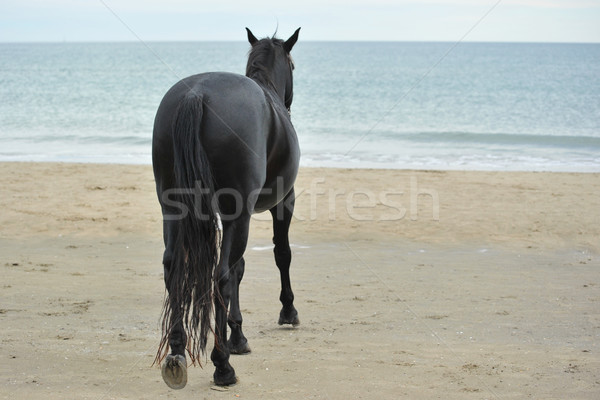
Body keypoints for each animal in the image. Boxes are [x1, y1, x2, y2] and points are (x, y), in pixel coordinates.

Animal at [150, 28, 300, 388]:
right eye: (293, 65)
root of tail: (196, 95)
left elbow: (240, 269)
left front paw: (238, 335)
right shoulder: (280, 203)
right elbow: (280, 255)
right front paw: (287, 312)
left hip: (172, 210)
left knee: (174, 268)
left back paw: (177, 351)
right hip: (238, 215)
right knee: (220, 275)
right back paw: (222, 365)